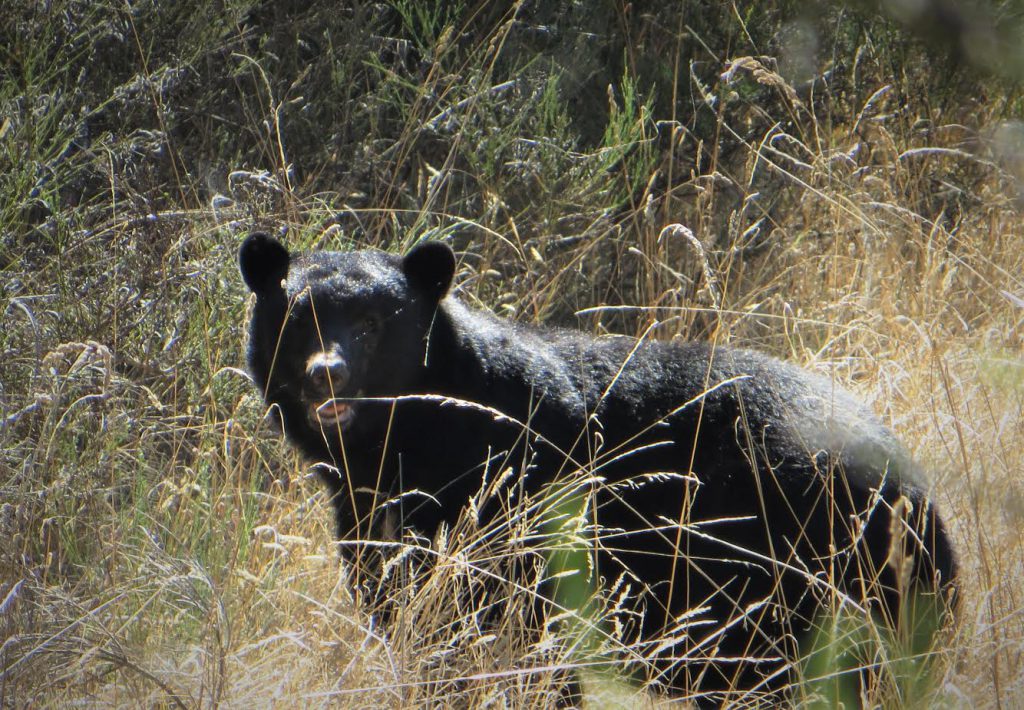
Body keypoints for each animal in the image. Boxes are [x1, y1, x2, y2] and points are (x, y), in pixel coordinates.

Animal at [241, 233, 958, 704]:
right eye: (298, 321)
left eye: (370, 324)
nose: (327, 373)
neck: (404, 442)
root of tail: (913, 485)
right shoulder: (378, 522)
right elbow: (421, 629)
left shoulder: (516, 507)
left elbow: (528, 644)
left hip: (801, 578)